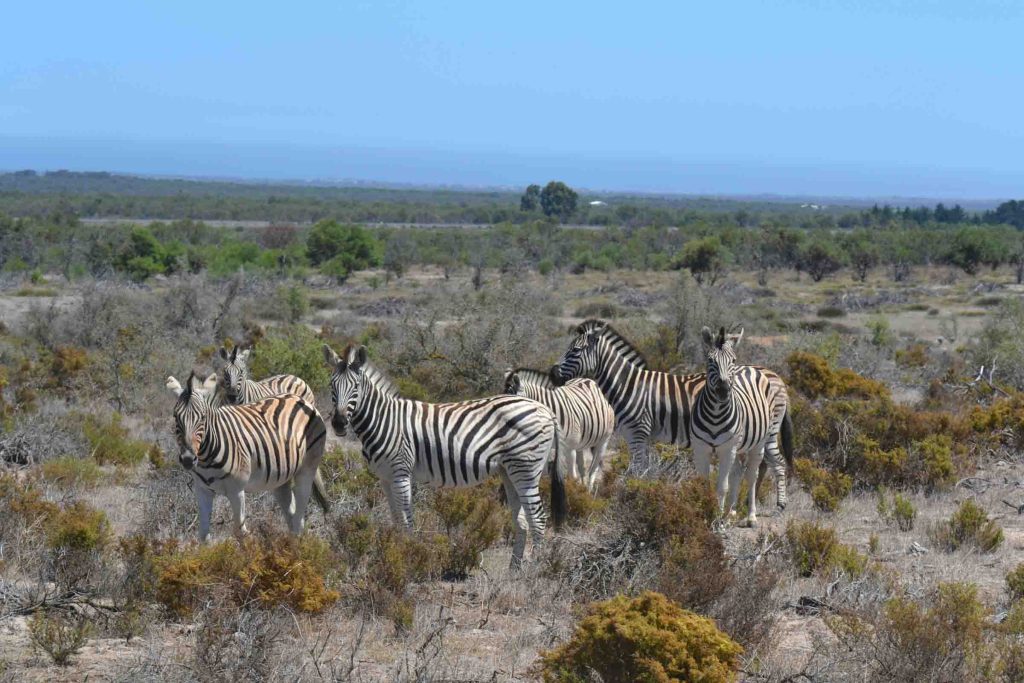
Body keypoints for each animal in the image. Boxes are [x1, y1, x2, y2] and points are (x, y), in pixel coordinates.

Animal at [165, 370, 327, 540]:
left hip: (307, 468)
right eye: (175, 417)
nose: (188, 459)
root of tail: (299, 398)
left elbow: (240, 531)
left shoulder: (236, 490)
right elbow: (203, 534)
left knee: (299, 514)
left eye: (203, 417)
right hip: (281, 478)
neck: (206, 458)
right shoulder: (202, 490)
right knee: (292, 516)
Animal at [321, 342, 569, 565]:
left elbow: (406, 521)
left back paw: (533, 571)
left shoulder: (401, 474)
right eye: (332, 386)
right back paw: (514, 571)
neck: (384, 420)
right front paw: (394, 555)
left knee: (538, 518)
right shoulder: (384, 477)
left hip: (526, 468)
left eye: (355, 387)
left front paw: (406, 558)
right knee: (522, 520)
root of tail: (545, 410)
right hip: (509, 470)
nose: (339, 423)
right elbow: (396, 521)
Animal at [692, 327, 794, 528]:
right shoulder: (701, 449)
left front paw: (717, 519)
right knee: (744, 470)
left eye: (733, 360)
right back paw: (734, 510)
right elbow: (704, 484)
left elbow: (722, 486)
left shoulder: (727, 448)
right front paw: (705, 514)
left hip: (766, 436)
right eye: (710, 361)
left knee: (766, 467)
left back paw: (767, 510)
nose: (723, 391)